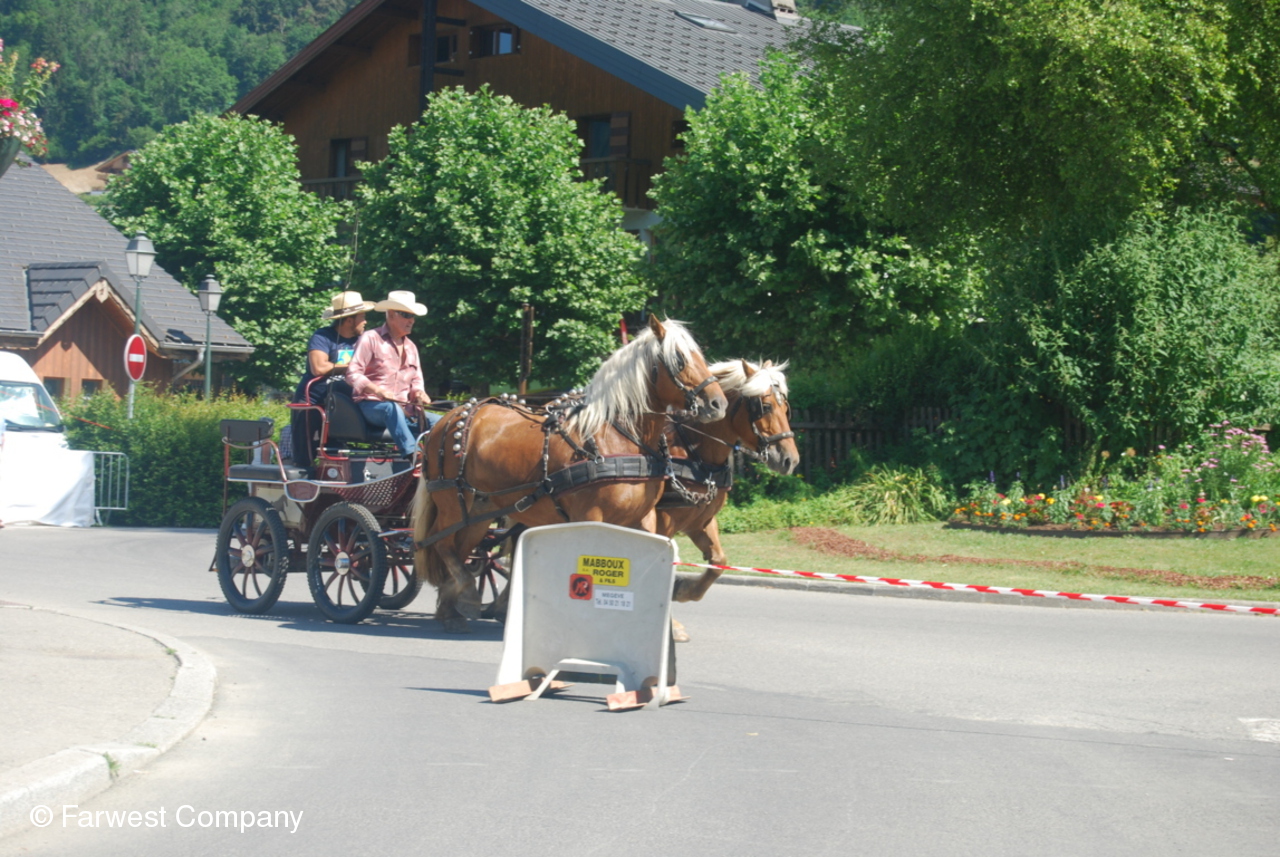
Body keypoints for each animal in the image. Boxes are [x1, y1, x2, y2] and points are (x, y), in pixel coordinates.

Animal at [412, 316, 728, 631]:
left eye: (701, 356)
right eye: (679, 360)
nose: (718, 404)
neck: (617, 436)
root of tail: (450, 417)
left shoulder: (639, 518)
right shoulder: (591, 517)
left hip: (480, 510)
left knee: (461, 548)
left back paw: (450, 608)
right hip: (453, 501)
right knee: (441, 543)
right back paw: (464, 595)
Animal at [657, 360, 798, 606]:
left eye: (785, 408)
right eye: (766, 406)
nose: (790, 459)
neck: (693, 453)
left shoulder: (700, 521)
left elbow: (718, 561)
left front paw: (683, 588)